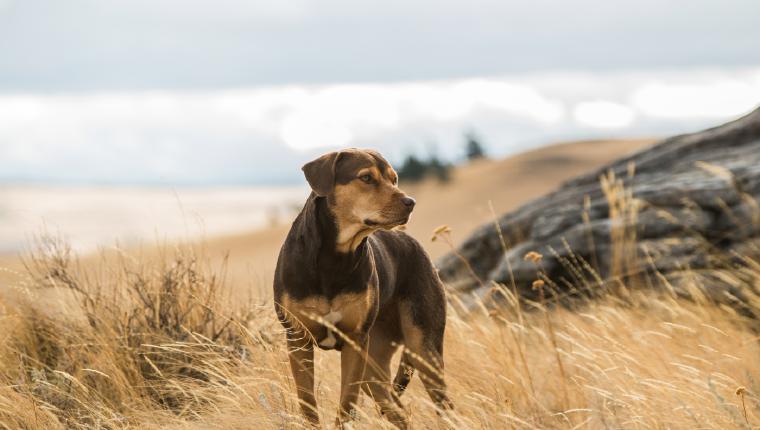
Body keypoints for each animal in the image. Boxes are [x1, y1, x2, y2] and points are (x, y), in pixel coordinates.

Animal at [274, 149, 452, 428]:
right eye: (366, 177)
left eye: (394, 178)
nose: (410, 202)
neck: (335, 257)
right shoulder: (298, 338)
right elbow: (307, 401)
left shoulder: (355, 341)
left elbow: (347, 403)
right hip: (375, 365)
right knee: (397, 409)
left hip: (422, 347)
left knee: (441, 403)